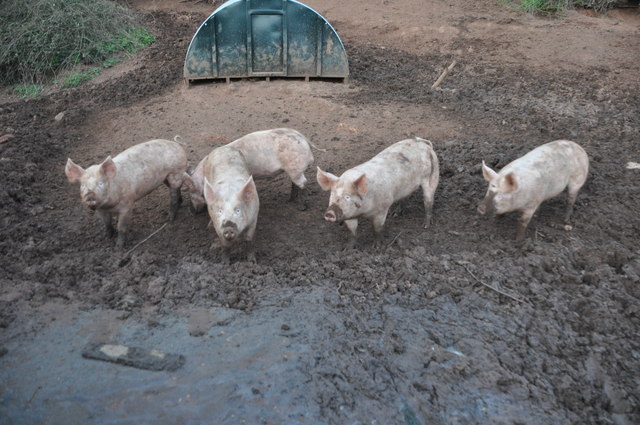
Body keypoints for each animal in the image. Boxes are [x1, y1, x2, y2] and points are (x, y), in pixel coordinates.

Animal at [184, 127, 316, 214]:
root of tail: (303, 138)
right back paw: (289, 200)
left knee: (303, 183)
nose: (192, 211)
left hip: (295, 168)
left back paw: (302, 207)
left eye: (193, 193)